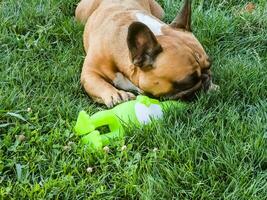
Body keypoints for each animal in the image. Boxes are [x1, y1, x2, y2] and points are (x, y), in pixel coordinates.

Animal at [75, 0, 218, 108]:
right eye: (187, 82)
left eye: (209, 66)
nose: (206, 78)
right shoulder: (89, 73)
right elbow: (99, 83)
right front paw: (116, 94)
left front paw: (212, 86)